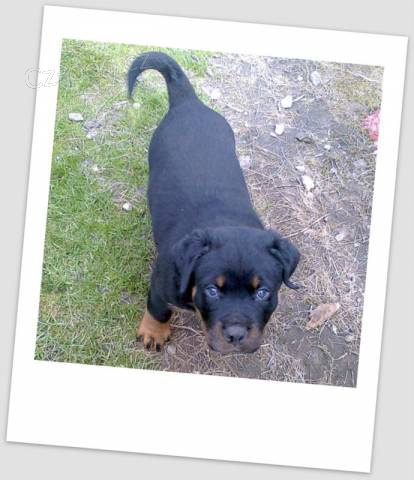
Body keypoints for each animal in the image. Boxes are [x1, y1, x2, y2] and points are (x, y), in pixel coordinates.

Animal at [128, 52, 300, 354]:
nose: (236, 334)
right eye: (212, 290)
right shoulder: (161, 284)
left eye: (263, 293)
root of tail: (189, 101)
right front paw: (153, 333)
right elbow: (158, 309)